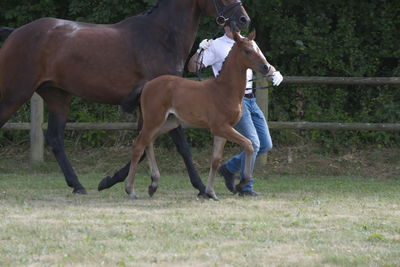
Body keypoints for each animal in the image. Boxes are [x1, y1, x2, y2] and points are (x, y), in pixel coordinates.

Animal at [0, 0, 250, 197]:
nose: (243, 19)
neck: (160, 37)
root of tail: (15, 33)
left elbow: (145, 144)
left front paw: (109, 181)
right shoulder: (161, 106)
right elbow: (177, 145)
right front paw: (199, 187)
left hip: (58, 98)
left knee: (54, 138)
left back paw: (78, 185)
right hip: (15, 94)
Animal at [123, 29, 270, 201]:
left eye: (258, 49)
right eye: (248, 51)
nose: (267, 67)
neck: (224, 90)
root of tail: (147, 85)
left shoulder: (222, 130)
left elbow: (215, 160)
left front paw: (211, 192)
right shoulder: (220, 127)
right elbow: (249, 144)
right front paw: (240, 183)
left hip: (168, 123)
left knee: (148, 142)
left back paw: (153, 185)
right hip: (154, 121)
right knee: (138, 145)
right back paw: (130, 190)